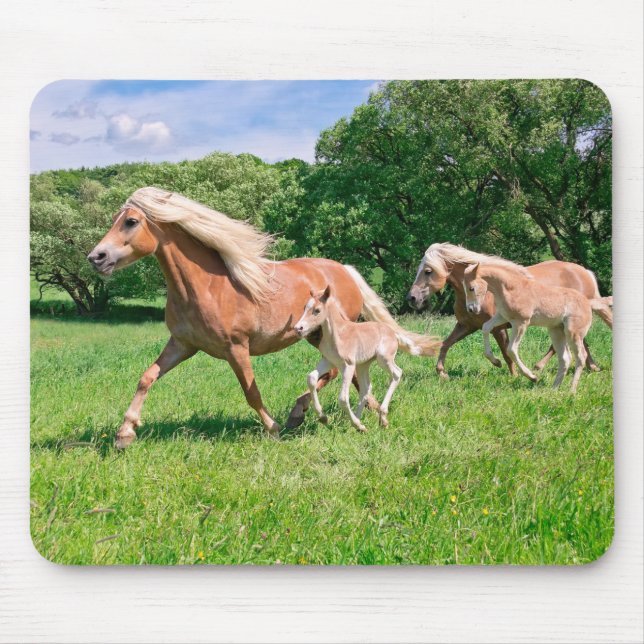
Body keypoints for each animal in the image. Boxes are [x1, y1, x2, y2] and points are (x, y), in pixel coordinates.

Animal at [294, 284, 426, 431]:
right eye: (304, 307)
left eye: (317, 310)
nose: (298, 328)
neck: (337, 334)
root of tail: (393, 333)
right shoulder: (329, 361)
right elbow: (311, 378)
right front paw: (323, 417)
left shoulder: (348, 365)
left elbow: (343, 398)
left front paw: (356, 424)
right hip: (363, 365)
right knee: (366, 387)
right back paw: (359, 422)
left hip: (383, 358)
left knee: (397, 373)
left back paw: (379, 418)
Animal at [406, 243, 613, 379]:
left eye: (428, 271)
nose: (411, 298)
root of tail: (585, 272)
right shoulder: (466, 325)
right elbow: (445, 343)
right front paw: (442, 372)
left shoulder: (499, 327)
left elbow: (506, 352)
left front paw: (512, 373)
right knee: (579, 342)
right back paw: (591, 367)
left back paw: (540, 367)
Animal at [462, 261, 609, 393]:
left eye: (471, 288)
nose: (471, 309)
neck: (511, 288)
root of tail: (588, 302)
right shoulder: (502, 317)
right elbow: (486, 327)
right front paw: (495, 361)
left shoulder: (521, 322)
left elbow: (511, 349)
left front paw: (532, 377)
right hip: (557, 331)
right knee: (565, 358)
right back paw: (554, 389)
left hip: (573, 333)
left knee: (581, 357)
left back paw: (571, 391)